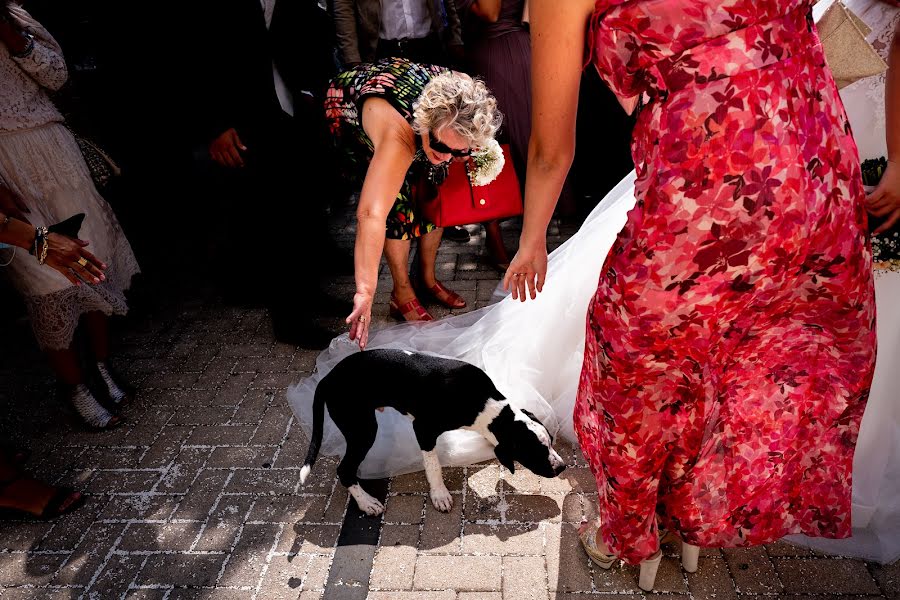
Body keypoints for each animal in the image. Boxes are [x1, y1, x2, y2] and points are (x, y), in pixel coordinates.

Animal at [302, 350, 568, 512]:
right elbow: (433, 465)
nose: (562, 467)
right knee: (344, 470)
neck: (483, 403)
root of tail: (328, 377)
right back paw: (367, 503)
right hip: (362, 429)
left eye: (551, 442)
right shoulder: (423, 429)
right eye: (535, 452)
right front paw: (439, 494)